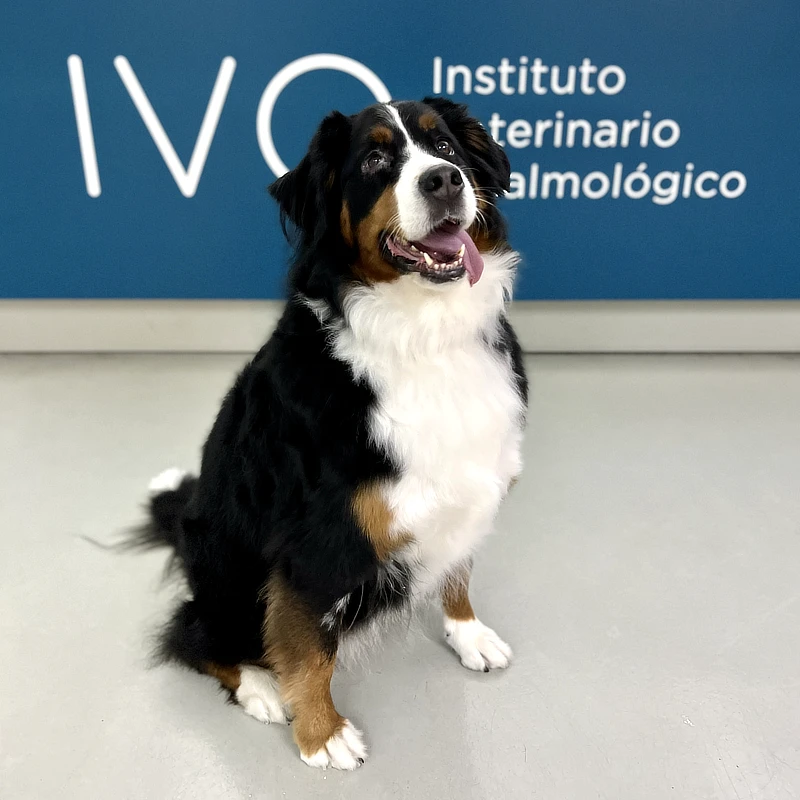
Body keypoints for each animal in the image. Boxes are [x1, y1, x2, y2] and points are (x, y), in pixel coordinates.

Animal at [134, 97, 528, 772]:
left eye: (445, 148)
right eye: (372, 161)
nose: (444, 181)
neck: (424, 337)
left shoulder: (469, 483)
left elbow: (458, 569)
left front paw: (468, 633)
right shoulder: (311, 544)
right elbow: (308, 648)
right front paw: (321, 733)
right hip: (226, 570)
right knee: (192, 632)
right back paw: (262, 688)